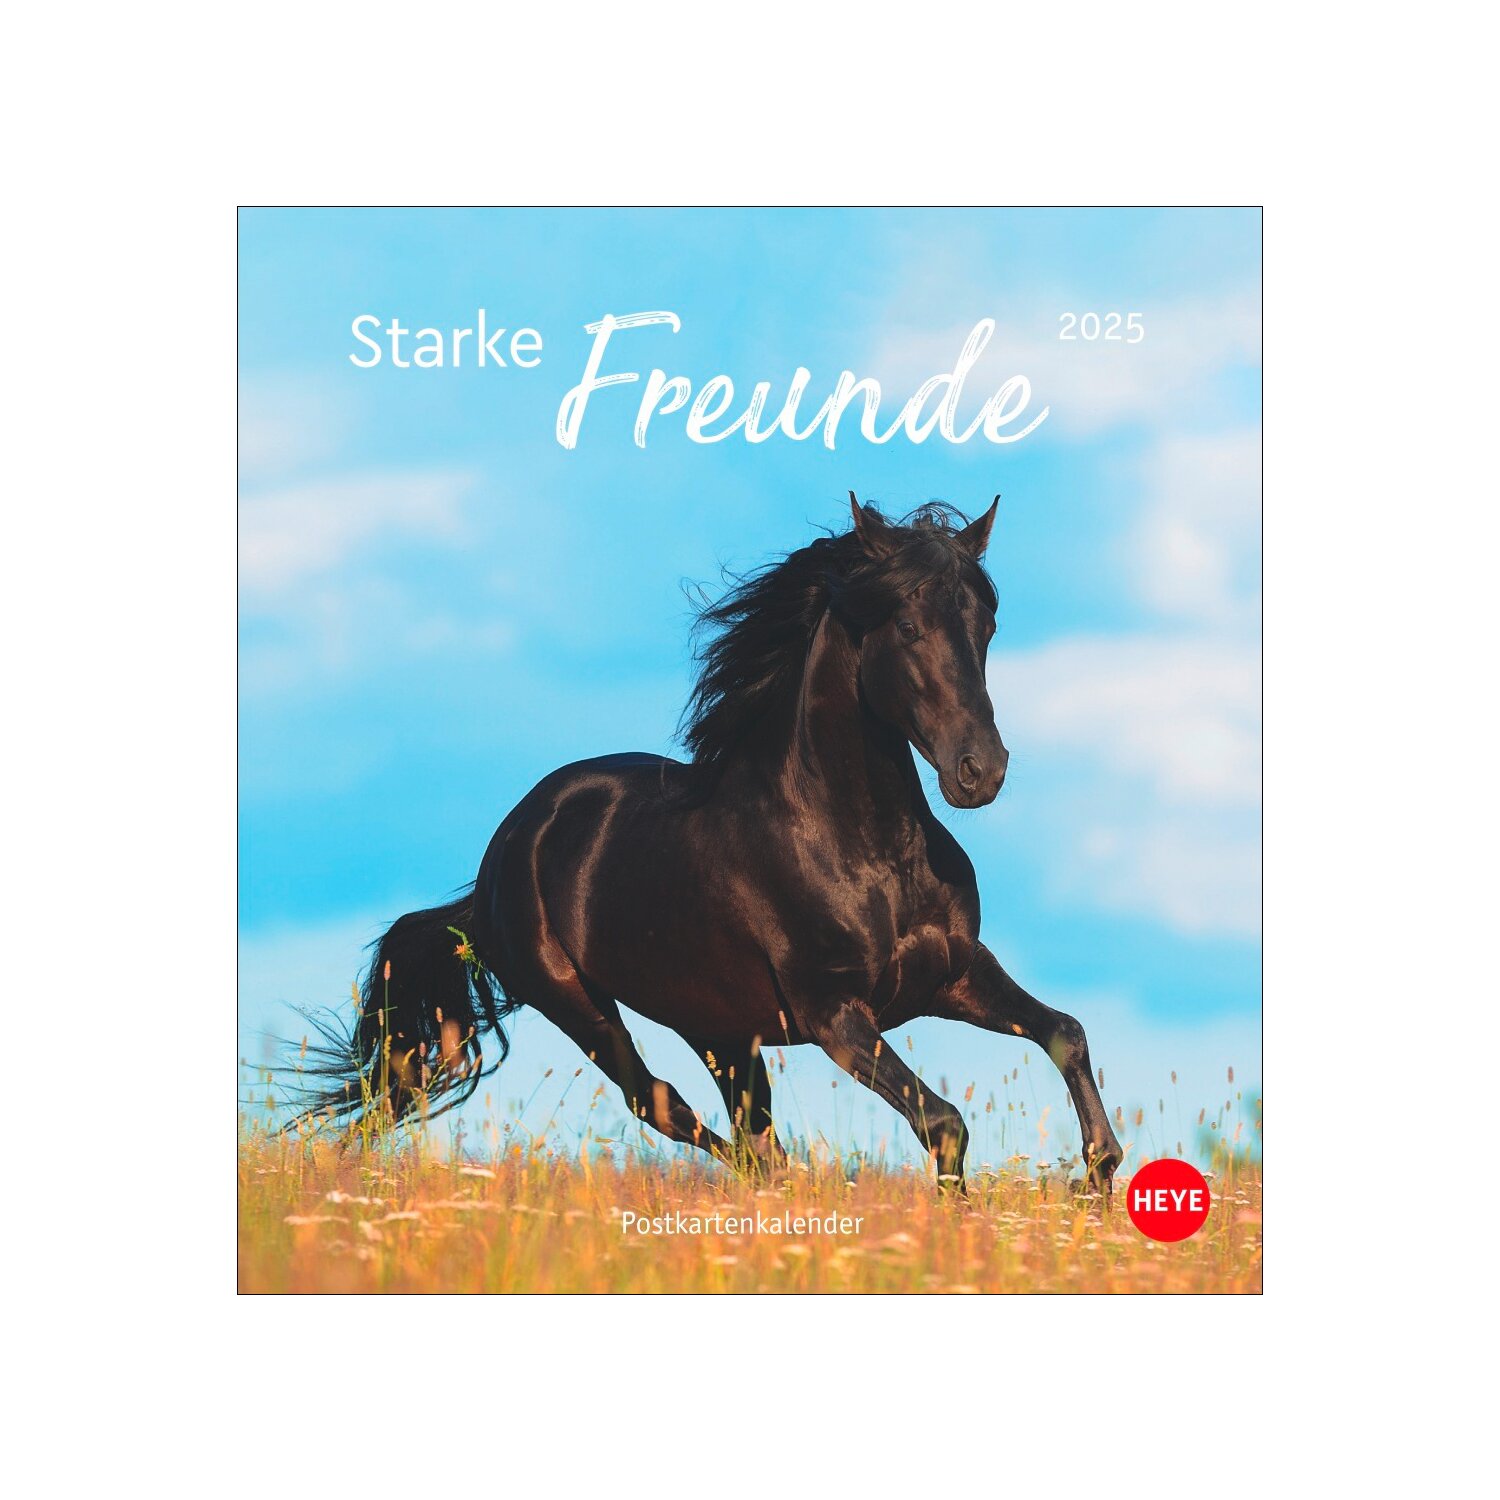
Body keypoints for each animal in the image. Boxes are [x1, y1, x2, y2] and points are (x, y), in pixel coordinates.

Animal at [293, 494, 1125, 1193]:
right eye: (908, 627)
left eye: (985, 628)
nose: (980, 771)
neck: (869, 851)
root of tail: (504, 853)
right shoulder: (837, 1016)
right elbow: (944, 1122)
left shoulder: (953, 975)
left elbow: (1066, 1034)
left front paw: (1095, 1174)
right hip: (580, 1005)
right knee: (668, 1107)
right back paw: (784, 1183)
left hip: (720, 1029)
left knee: (743, 1128)